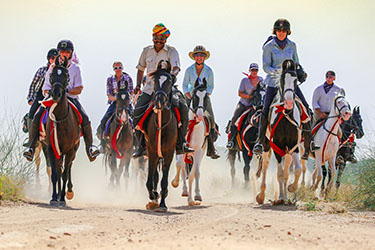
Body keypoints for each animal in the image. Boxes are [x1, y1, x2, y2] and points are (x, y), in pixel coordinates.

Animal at [171, 77, 210, 205]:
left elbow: (195, 174)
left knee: (194, 172)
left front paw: (193, 198)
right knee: (183, 169)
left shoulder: (197, 152)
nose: (200, 115)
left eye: (206, 97)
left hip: (200, 154)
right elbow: (179, 165)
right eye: (195, 96)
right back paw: (184, 191)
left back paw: (195, 196)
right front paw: (175, 182)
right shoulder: (180, 149)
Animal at [258, 59, 308, 204]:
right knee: (265, 166)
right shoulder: (277, 146)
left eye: (296, 80)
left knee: (287, 170)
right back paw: (261, 195)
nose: (289, 102)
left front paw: (291, 189)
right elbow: (279, 174)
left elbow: (296, 170)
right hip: (266, 145)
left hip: (288, 150)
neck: (285, 115)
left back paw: (285, 196)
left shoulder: (293, 145)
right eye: (281, 80)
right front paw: (279, 198)